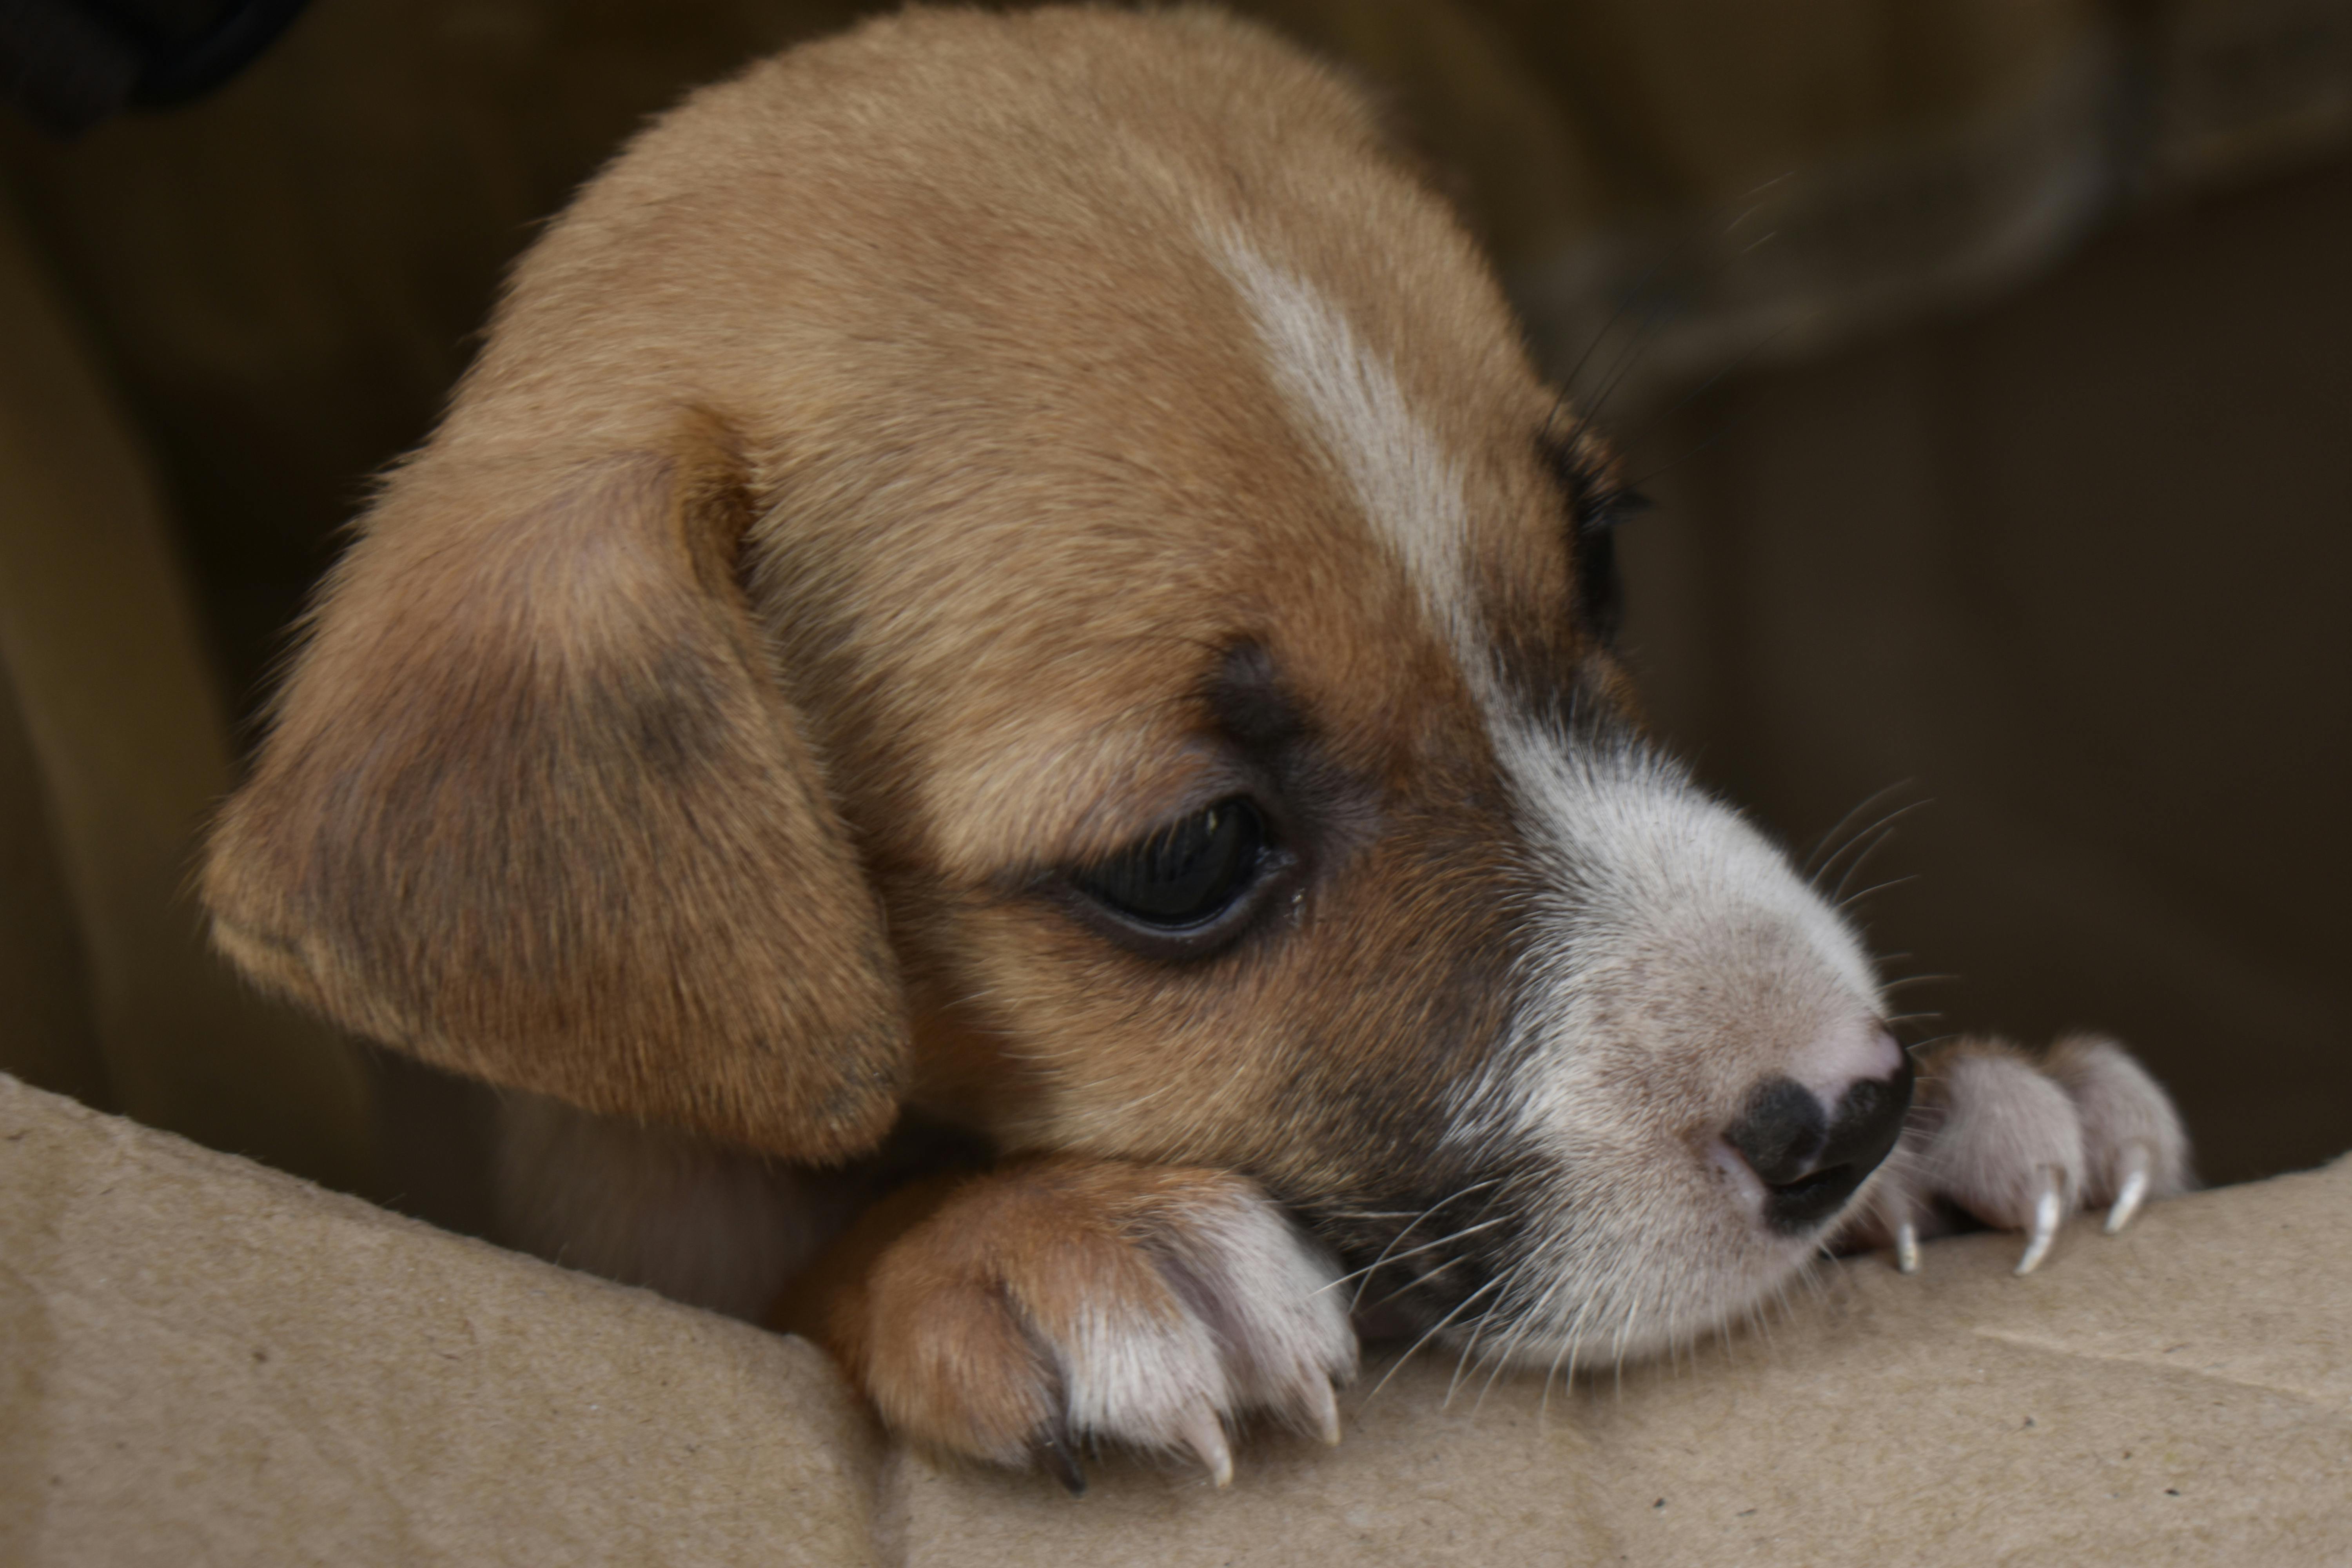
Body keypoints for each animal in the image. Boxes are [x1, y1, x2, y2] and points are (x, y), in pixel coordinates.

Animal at [198, 3, 2183, 1495]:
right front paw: (1036, 1242)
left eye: (1606, 555)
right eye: (1184, 857)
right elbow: (796, 1266)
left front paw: (1985, 1094)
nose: (1852, 1109)